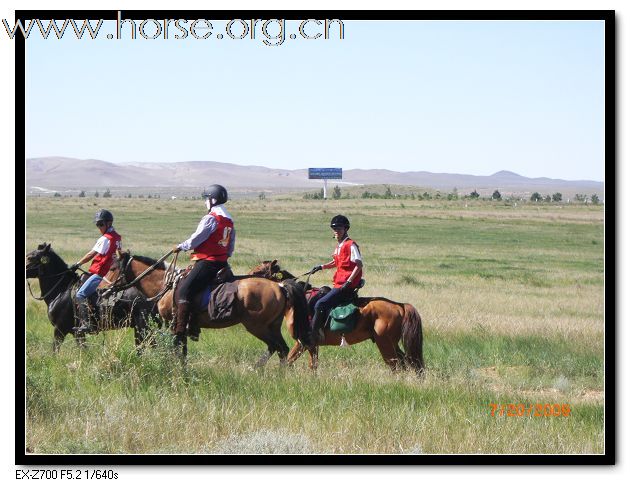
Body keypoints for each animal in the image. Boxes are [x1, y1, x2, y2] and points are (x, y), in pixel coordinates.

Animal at [26, 242, 160, 352]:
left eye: (30, 257)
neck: (61, 290)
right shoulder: (76, 333)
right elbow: (84, 350)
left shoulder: (60, 330)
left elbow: (56, 351)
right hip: (139, 328)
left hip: (144, 326)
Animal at [109, 251, 312, 364]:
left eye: (112, 268)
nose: (106, 289)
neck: (166, 285)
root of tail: (280, 286)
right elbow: (182, 352)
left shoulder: (174, 324)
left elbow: (175, 349)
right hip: (272, 327)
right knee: (281, 349)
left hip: (258, 327)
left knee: (278, 348)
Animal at [249, 260, 428, 372]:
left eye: (258, 271)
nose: (246, 279)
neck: (298, 299)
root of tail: (400, 305)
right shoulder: (311, 345)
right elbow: (312, 366)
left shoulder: (303, 342)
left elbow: (290, 361)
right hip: (392, 344)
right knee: (407, 363)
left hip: (385, 344)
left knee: (397, 366)